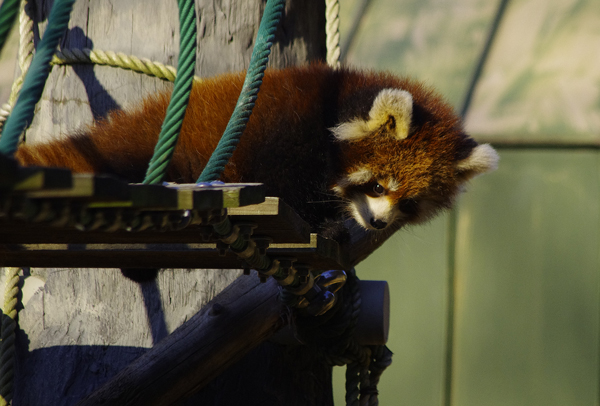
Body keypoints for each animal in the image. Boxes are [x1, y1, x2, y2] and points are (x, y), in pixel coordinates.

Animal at [16, 63, 500, 241]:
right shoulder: (285, 134)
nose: (379, 222)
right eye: (378, 185)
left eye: (410, 202)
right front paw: (321, 223)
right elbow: (287, 182)